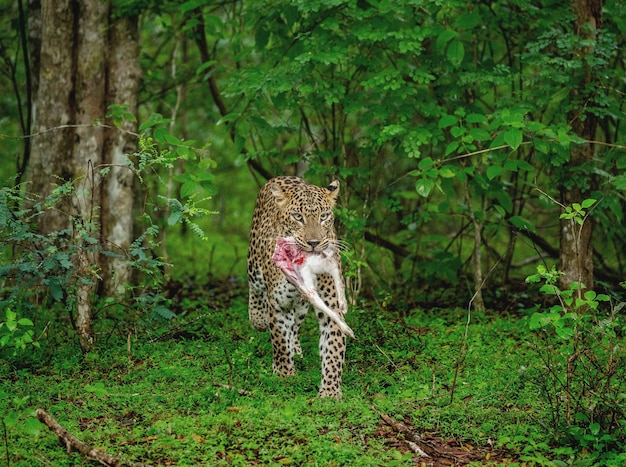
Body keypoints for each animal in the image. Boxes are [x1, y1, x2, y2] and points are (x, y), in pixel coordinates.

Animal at [247, 176, 346, 398]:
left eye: (324, 216)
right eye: (298, 217)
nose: (314, 242)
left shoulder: (332, 305)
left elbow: (333, 349)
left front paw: (330, 391)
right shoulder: (279, 303)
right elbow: (280, 341)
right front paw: (284, 376)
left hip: (301, 306)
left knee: (296, 326)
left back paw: (298, 350)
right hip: (254, 262)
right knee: (255, 288)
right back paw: (258, 319)